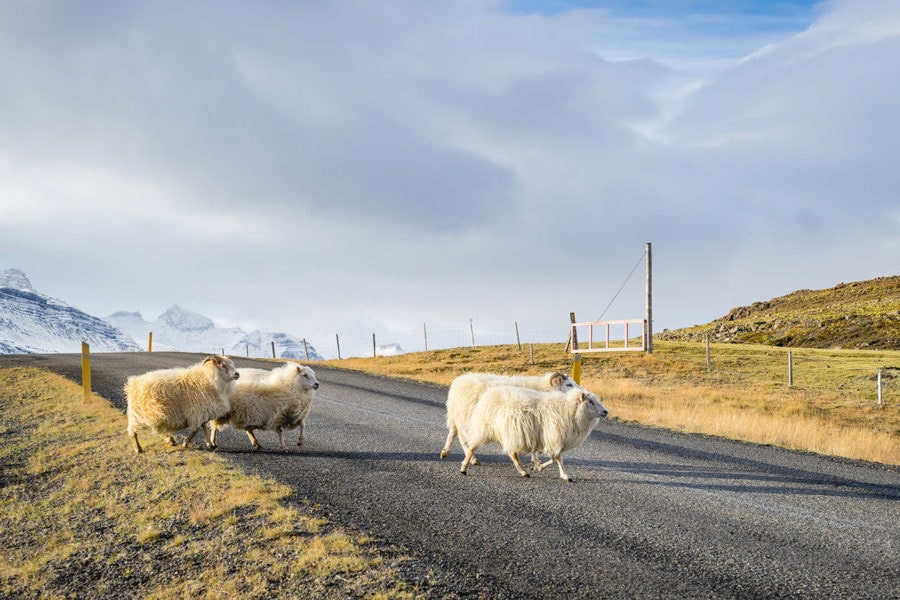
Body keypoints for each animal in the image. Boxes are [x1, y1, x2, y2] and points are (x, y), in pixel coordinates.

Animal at [439, 371, 582, 466]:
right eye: (569, 384)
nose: (582, 392)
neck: (543, 389)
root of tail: (459, 380)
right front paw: (535, 460)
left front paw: (535, 460)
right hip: (462, 417)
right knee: (460, 437)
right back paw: (468, 458)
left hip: (460, 416)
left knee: (456, 433)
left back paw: (449, 453)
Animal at [458, 385, 608, 482]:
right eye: (591, 402)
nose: (606, 411)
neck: (569, 409)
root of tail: (488, 395)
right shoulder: (553, 436)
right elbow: (557, 458)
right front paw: (561, 474)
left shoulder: (551, 439)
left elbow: (555, 458)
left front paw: (541, 467)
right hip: (487, 429)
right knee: (473, 448)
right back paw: (464, 468)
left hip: (509, 432)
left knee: (511, 453)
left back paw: (523, 471)